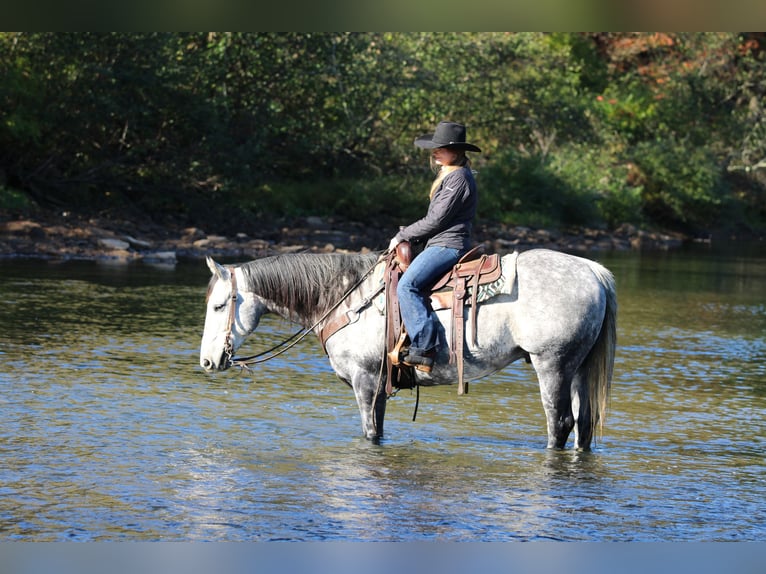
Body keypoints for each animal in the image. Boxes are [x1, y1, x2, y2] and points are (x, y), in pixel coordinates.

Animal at [199, 248, 617, 450]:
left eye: (219, 306)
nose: (206, 361)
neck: (345, 299)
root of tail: (593, 271)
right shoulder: (379, 385)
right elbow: (379, 430)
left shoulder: (365, 381)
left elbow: (369, 432)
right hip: (577, 367)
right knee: (583, 425)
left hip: (552, 364)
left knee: (560, 423)